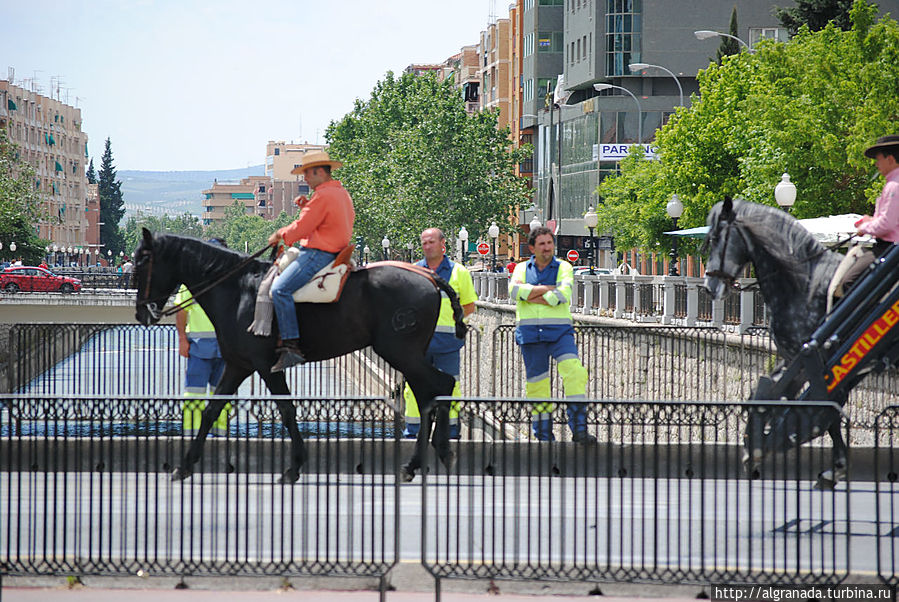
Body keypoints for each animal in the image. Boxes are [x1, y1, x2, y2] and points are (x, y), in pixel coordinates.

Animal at [135, 227, 472, 480]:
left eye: (141, 262)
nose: (141, 313)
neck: (238, 290)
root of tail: (429, 278)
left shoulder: (264, 365)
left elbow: (286, 410)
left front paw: (295, 465)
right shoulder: (237, 365)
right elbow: (210, 411)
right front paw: (185, 464)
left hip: (400, 351)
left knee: (439, 385)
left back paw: (438, 453)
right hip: (408, 354)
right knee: (429, 393)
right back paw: (421, 460)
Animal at [704, 197, 852, 482]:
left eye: (716, 238)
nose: (709, 287)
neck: (802, 284)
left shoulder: (818, 359)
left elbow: (827, 406)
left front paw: (838, 464)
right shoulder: (794, 358)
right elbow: (765, 396)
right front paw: (754, 448)